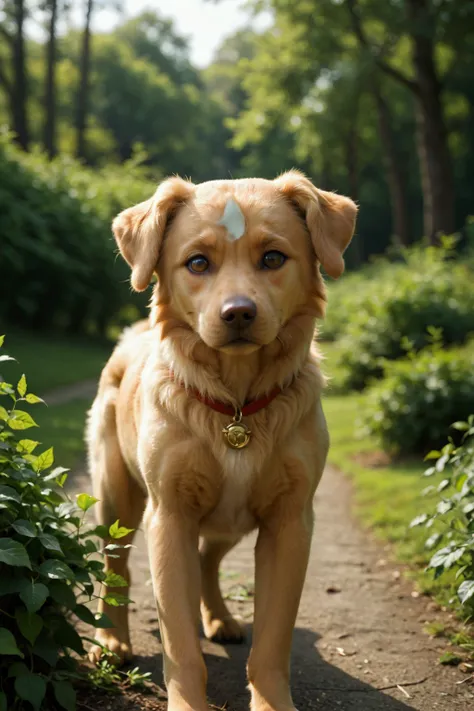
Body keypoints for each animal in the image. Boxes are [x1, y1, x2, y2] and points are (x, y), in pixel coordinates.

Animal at [87, 172, 358, 711]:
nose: (238, 313)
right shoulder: (169, 516)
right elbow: (178, 643)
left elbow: (273, 642)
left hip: (228, 519)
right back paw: (113, 640)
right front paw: (187, 699)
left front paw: (271, 701)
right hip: (116, 499)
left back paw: (219, 619)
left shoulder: (290, 522)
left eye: (273, 258)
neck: (236, 407)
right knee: (117, 567)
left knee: (207, 560)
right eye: (197, 262)